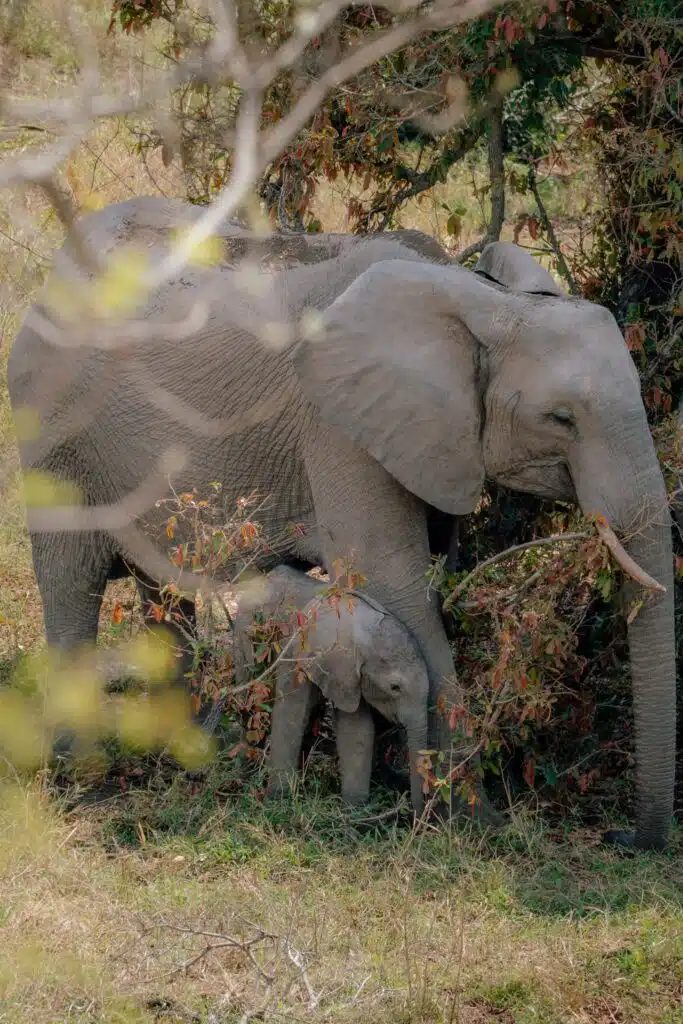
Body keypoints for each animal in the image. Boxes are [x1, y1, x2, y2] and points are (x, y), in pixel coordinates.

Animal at [231, 565, 430, 811]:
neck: (359, 625)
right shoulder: (298, 650)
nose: (417, 814)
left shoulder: (350, 676)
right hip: (245, 635)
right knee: (251, 703)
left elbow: (357, 729)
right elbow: (290, 713)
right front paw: (278, 802)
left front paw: (355, 812)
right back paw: (244, 778)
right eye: (395, 687)